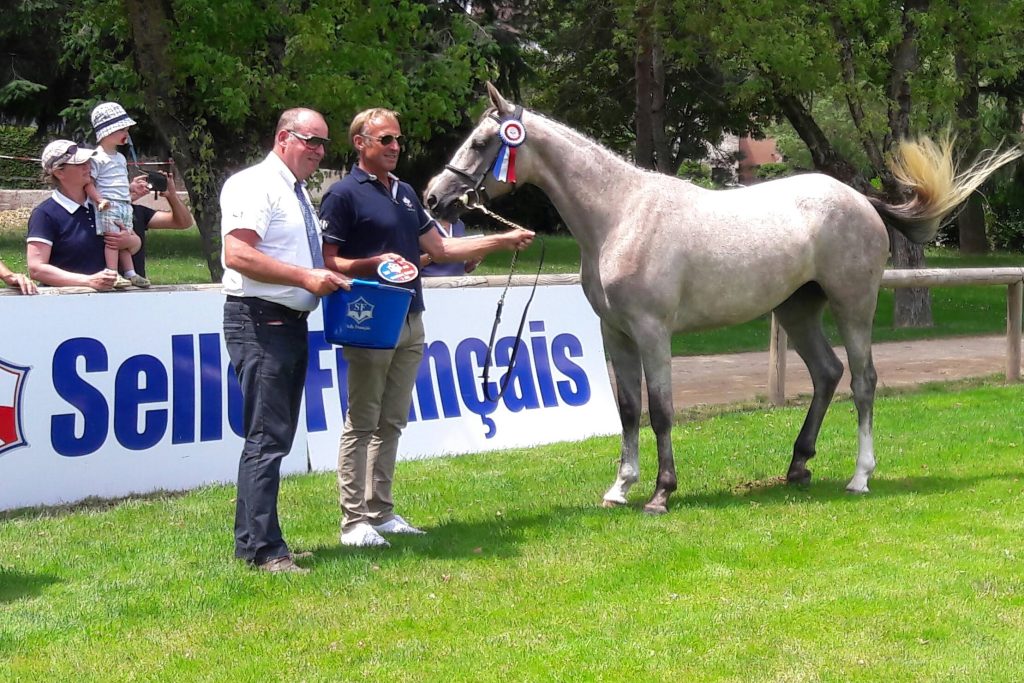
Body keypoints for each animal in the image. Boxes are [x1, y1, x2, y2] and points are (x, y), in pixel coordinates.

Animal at [424, 83, 1022, 514]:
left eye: (481, 142)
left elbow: (661, 409)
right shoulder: (615, 333)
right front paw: (620, 487)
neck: (622, 215)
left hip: (853, 305)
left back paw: (859, 476)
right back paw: (798, 466)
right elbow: (628, 408)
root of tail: (860, 200)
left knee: (864, 381)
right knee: (827, 373)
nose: (433, 196)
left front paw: (661, 493)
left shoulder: (652, 332)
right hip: (797, 310)